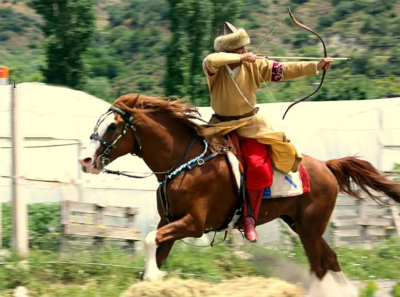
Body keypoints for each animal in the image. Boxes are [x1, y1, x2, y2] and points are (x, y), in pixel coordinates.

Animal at [78, 93, 400, 294]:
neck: (184, 163)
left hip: (309, 229)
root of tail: (326, 166)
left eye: (112, 127)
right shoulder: (168, 221)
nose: (86, 160)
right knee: (330, 259)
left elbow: (148, 240)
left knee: (319, 267)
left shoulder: (193, 224)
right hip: (301, 225)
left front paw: (155, 277)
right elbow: (155, 247)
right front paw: (151, 279)